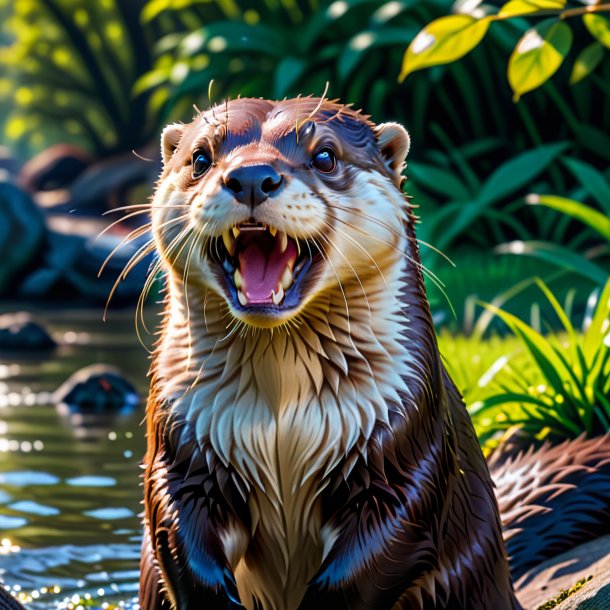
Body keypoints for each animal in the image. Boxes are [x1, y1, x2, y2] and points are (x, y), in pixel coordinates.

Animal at [139, 97, 608, 608]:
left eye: (325, 155)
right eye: (201, 158)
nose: (251, 177)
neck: (280, 420)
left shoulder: (403, 439)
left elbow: (369, 560)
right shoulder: (184, 439)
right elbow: (177, 527)